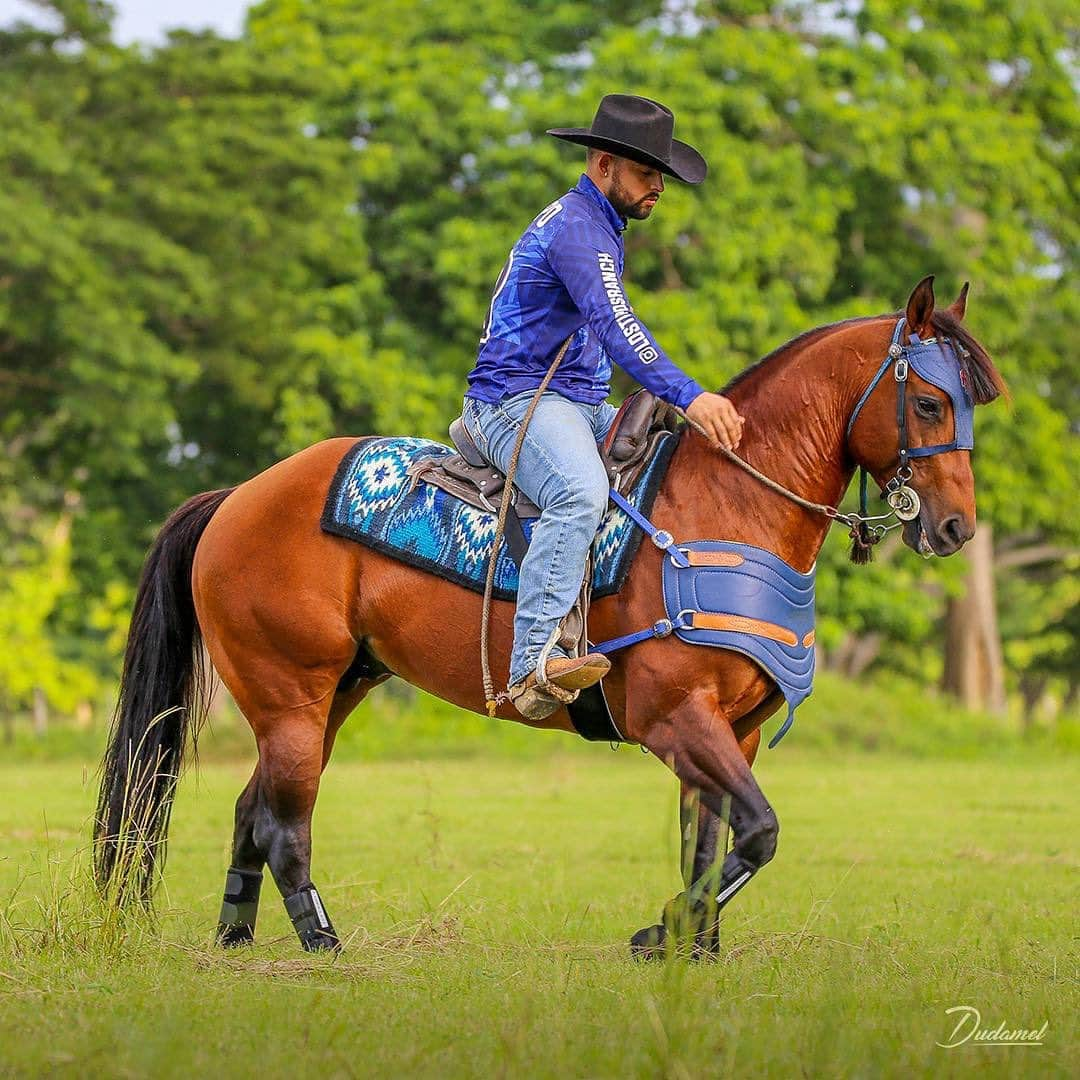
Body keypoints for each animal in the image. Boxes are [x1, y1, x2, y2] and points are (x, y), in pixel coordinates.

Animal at [92, 276, 1002, 954]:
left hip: (336, 691)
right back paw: (323, 943)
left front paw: (693, 945)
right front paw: (663, 932)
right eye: (929, 403)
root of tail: (236, 497)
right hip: (290, 695)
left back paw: (234, 939)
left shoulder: (731, 732)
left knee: (252, 812)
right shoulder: (676, 718)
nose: (956, 528)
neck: (726, 504)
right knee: (284, 823)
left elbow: (710, 846)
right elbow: (759, 833)